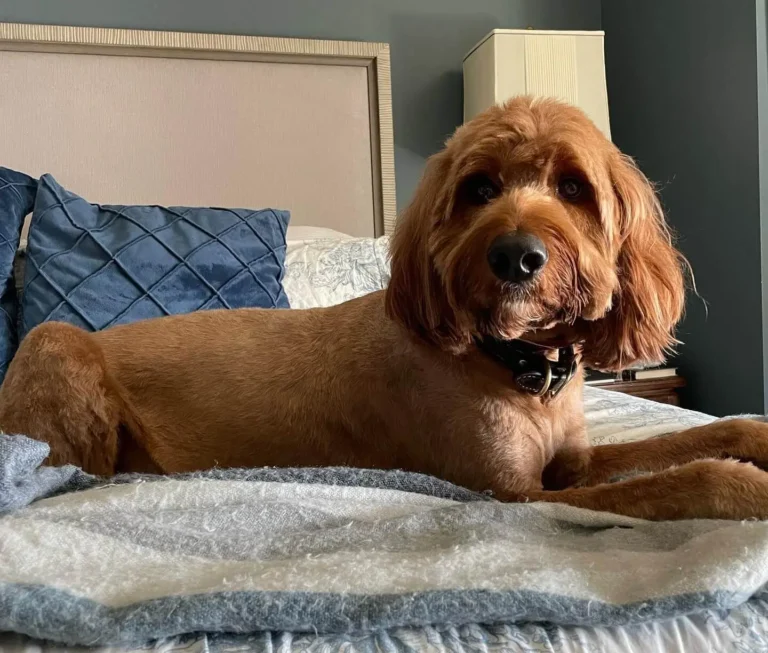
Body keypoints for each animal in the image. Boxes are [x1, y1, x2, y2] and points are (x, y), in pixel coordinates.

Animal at [4, 94, 768, 520]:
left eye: (574, 187)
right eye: (479, 188)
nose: (515, 255)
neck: (516, 362)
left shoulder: (571, 464)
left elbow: (682, 443)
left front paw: (752, 439)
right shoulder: (515, 493)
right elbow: (679, 480)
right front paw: (748, 491)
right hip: (55, 341)